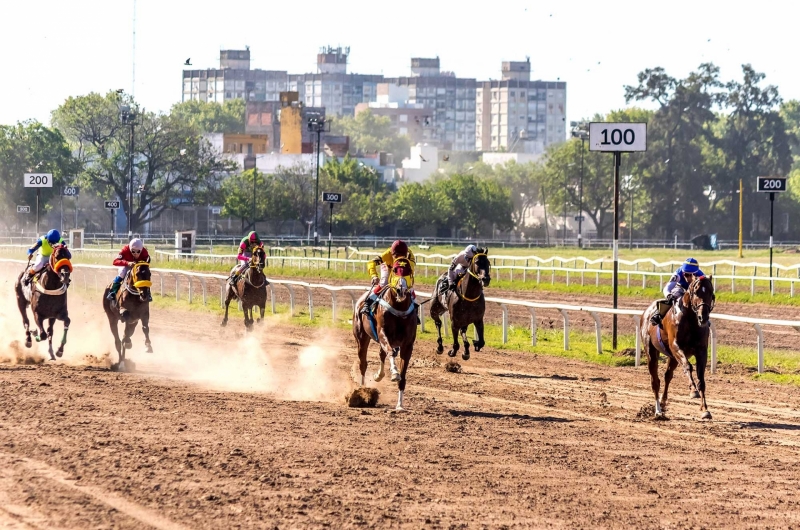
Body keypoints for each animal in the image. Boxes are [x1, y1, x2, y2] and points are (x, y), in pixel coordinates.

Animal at [354, 256, 418, 408]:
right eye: (395, 270)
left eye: (408, 270)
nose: (401, 289)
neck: (399, 308)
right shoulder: (383, 333)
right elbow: (390, 352)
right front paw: (394, 372)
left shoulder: (407, 344)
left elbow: (403, 374)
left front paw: (400, 404)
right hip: (361, 338)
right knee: (363, 364)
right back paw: (362, 389)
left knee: (381, 354)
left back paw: (379, 375)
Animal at [640, 274, 716, 418]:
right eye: (696, 292)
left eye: (711, 292)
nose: (703, 317)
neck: (691, 319)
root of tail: (646, 313)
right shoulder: (676, 346)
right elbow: (687, 366)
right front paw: (693, 391)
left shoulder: (701, 350)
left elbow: (701, 379)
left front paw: (705, 409)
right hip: (651, 352)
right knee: (655, 381)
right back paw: (658, 411)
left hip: (673, 357)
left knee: (667, 375)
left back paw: (663, 402)